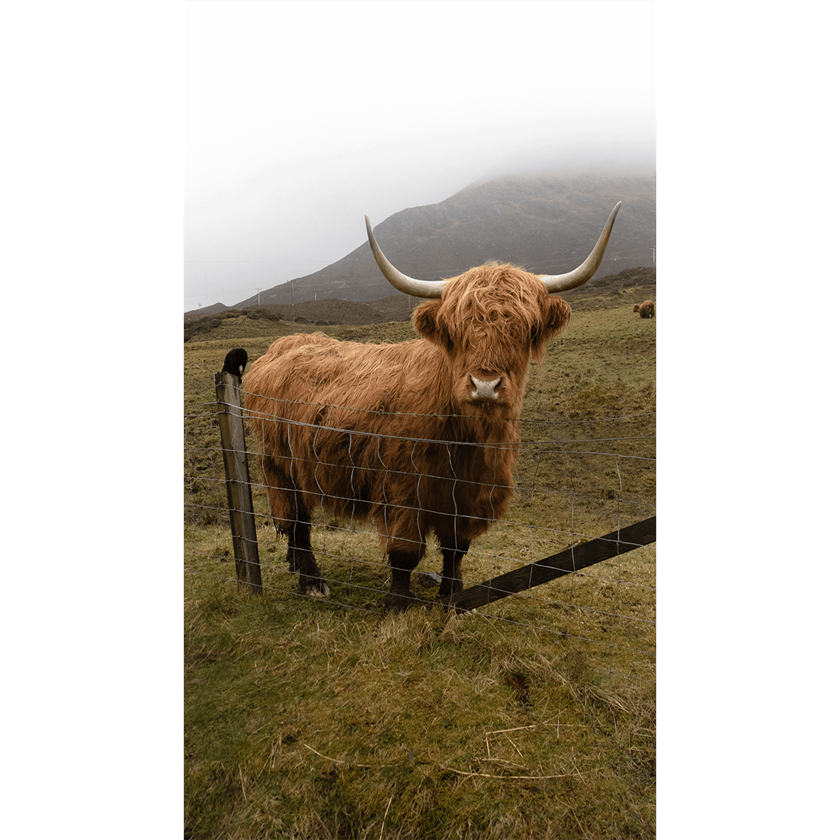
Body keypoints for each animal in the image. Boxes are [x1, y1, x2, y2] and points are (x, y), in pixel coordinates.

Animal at [246, 203, 620, 612]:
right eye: (456, 332)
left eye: (524, 330)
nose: (484, 385)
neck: (467, 440)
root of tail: (282, 345)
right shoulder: (403, 489)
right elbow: (406, 551)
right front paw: (397, 603)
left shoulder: (469, 495)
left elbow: (456, 549)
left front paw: (452, 598)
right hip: (279, 466)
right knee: (295, 522)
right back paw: (312, 581)